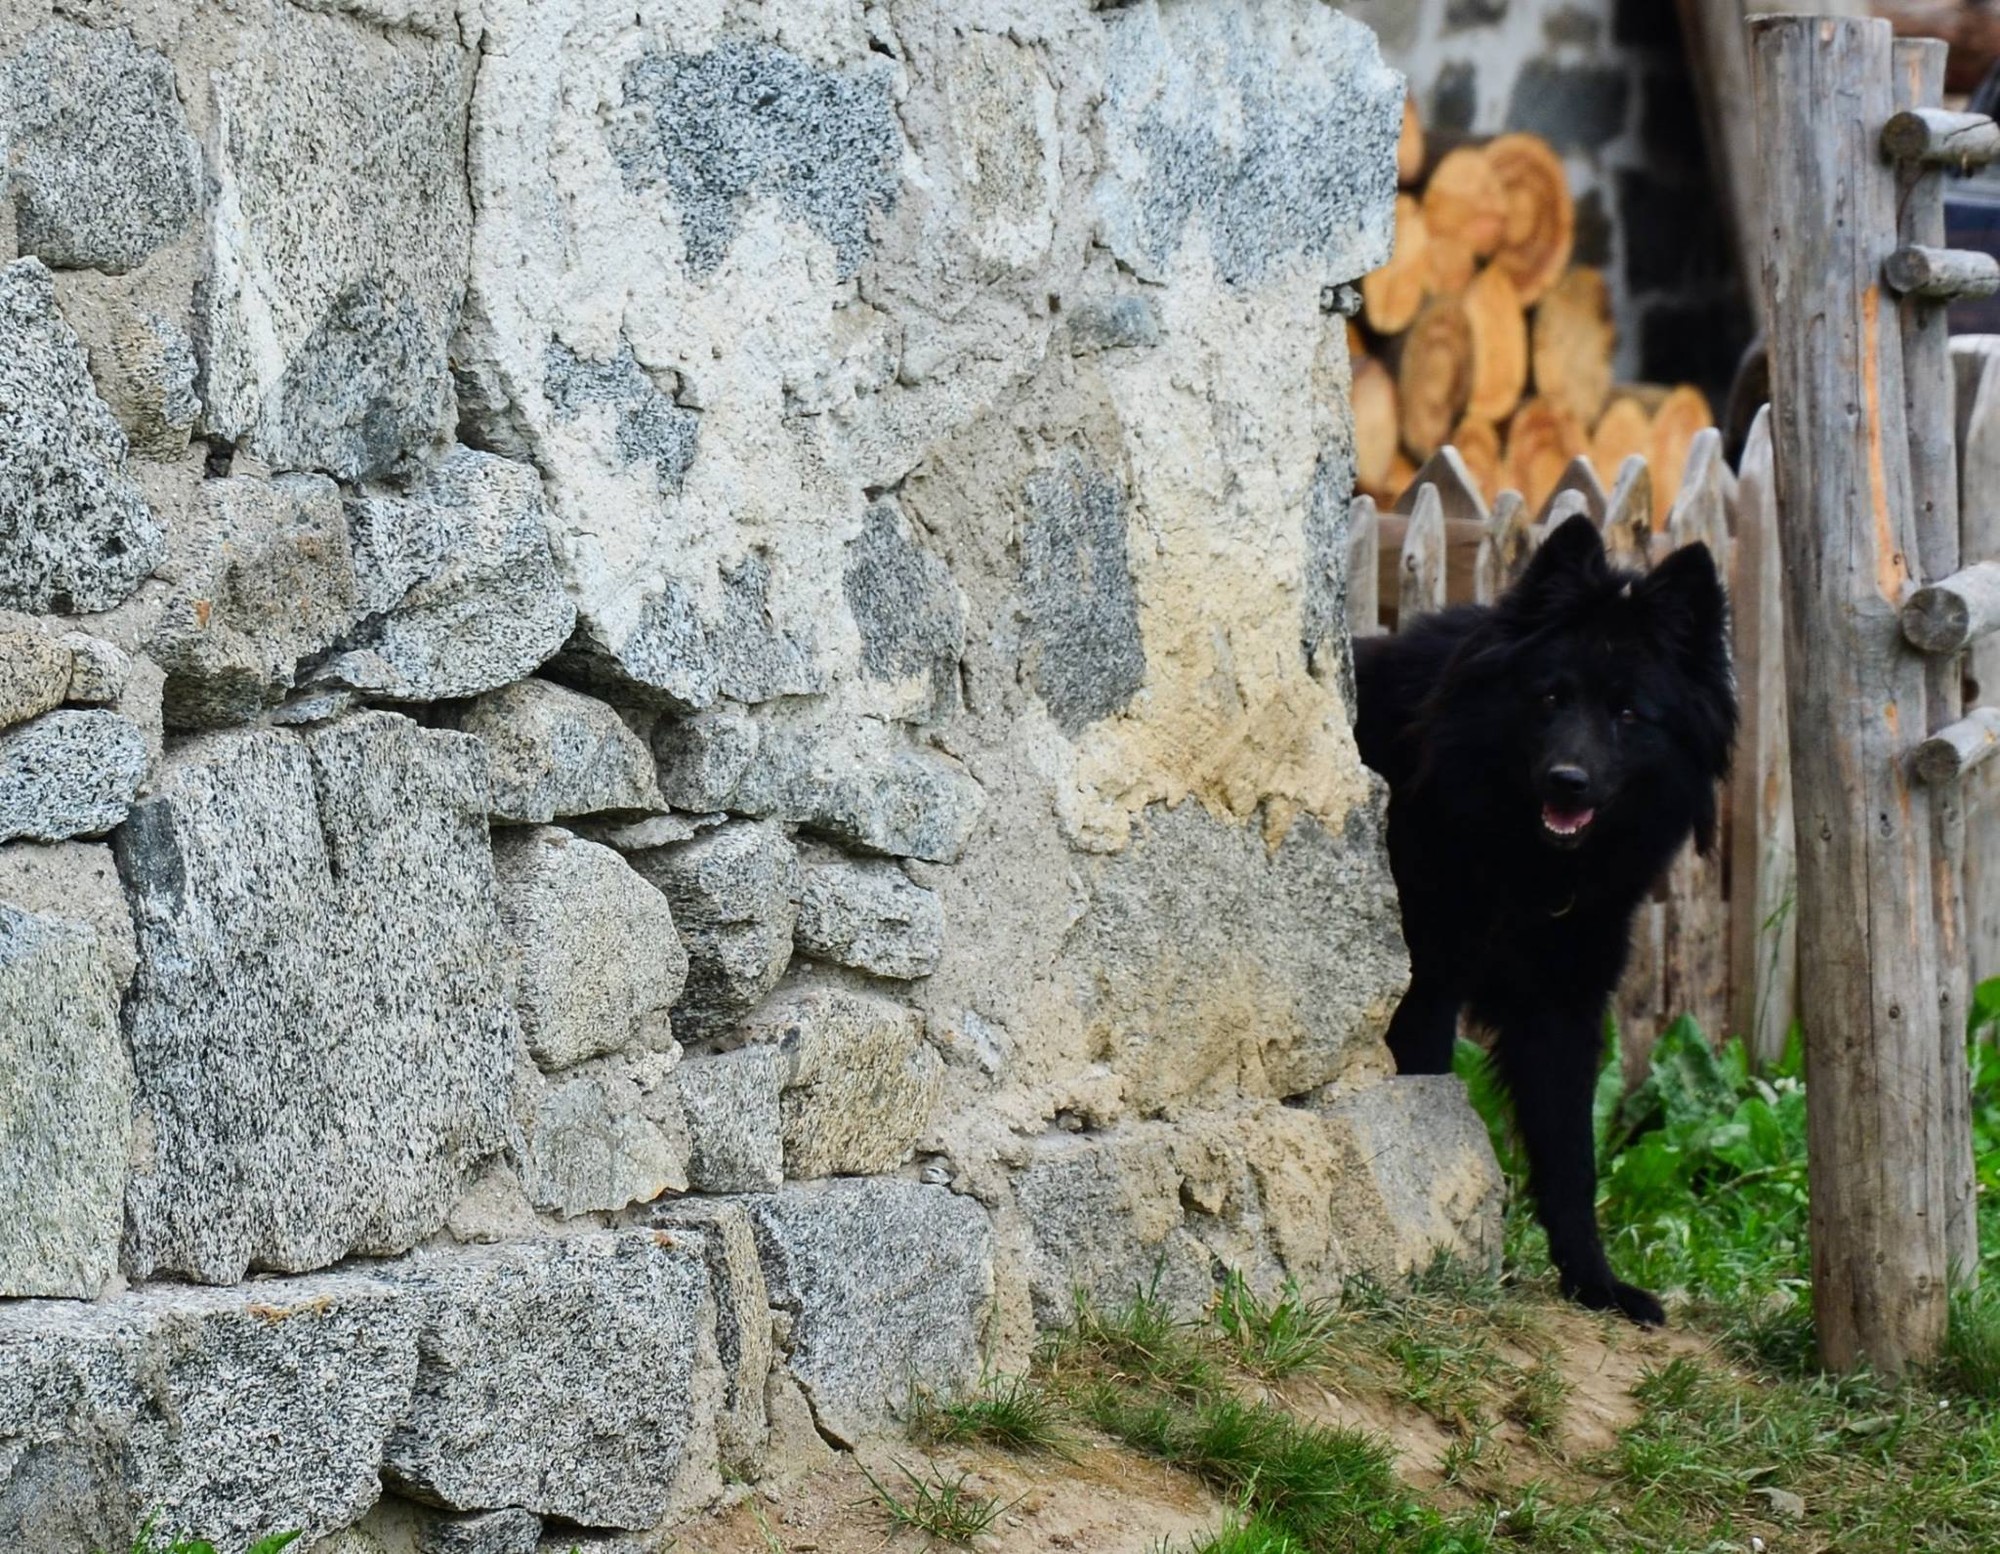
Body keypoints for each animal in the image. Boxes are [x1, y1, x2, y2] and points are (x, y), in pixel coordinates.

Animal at [1360, 516, 1736, 1312]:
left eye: (1628, 712)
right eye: (1551, 698)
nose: (1569, 780)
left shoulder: (1561, 1007)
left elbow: (1572, 1159)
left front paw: (1595, 1282)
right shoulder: (1425, 989)